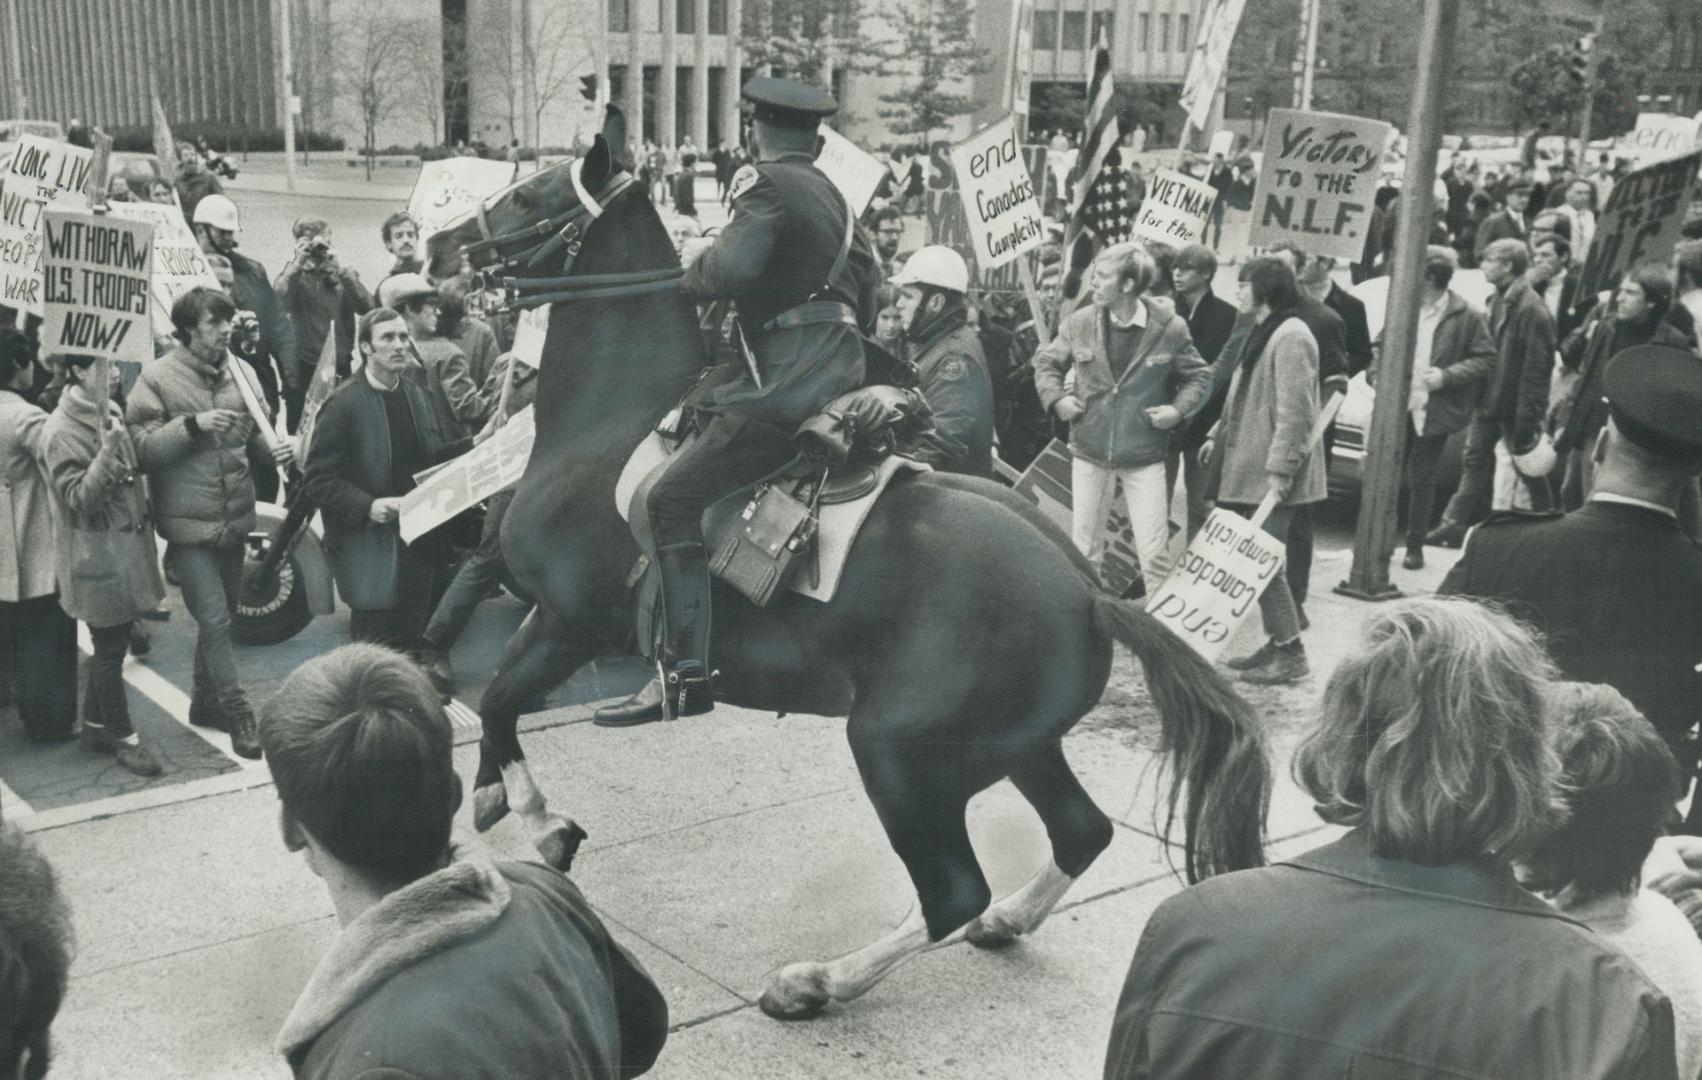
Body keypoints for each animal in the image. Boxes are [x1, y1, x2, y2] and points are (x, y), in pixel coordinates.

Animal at [432, 112, 1273, 1020]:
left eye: (527, 194)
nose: (441, 248)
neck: (606, 419)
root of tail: (1090, 590)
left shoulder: (571, 621)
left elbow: (504, 701)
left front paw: (541, 823)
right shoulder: (547, 619)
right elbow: (496, 702)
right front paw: (490, 796)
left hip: (898, 751)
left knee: (953, 891)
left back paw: (814, 982)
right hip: (1017, 745)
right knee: (1078, 834)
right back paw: (1007, 921)